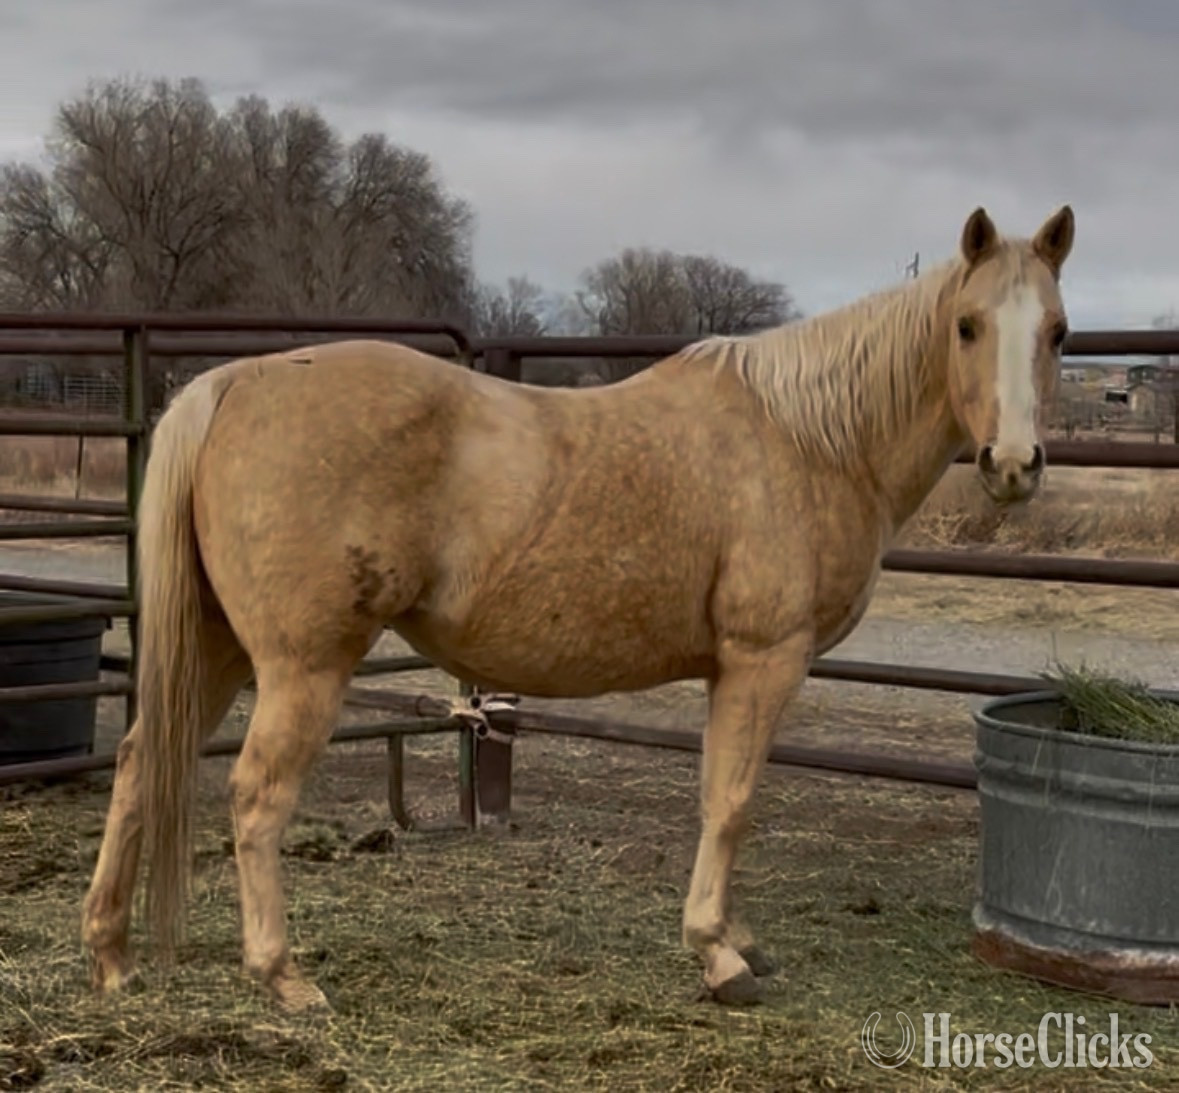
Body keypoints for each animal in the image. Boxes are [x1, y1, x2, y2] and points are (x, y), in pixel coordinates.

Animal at [80, 204, 1075, 1011]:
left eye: (1059, 332)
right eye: (966, 325)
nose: (1012, 465)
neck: (808, 438)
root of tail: (236, 382)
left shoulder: (733, 669)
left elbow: (723, 795)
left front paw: (734, 938)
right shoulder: (763, 657)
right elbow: (731, 801)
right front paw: (718, 956)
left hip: (217, 649)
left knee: (139, 760)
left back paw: (112, 951)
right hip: (302, 667)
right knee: (254, 797)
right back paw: (281, 974)